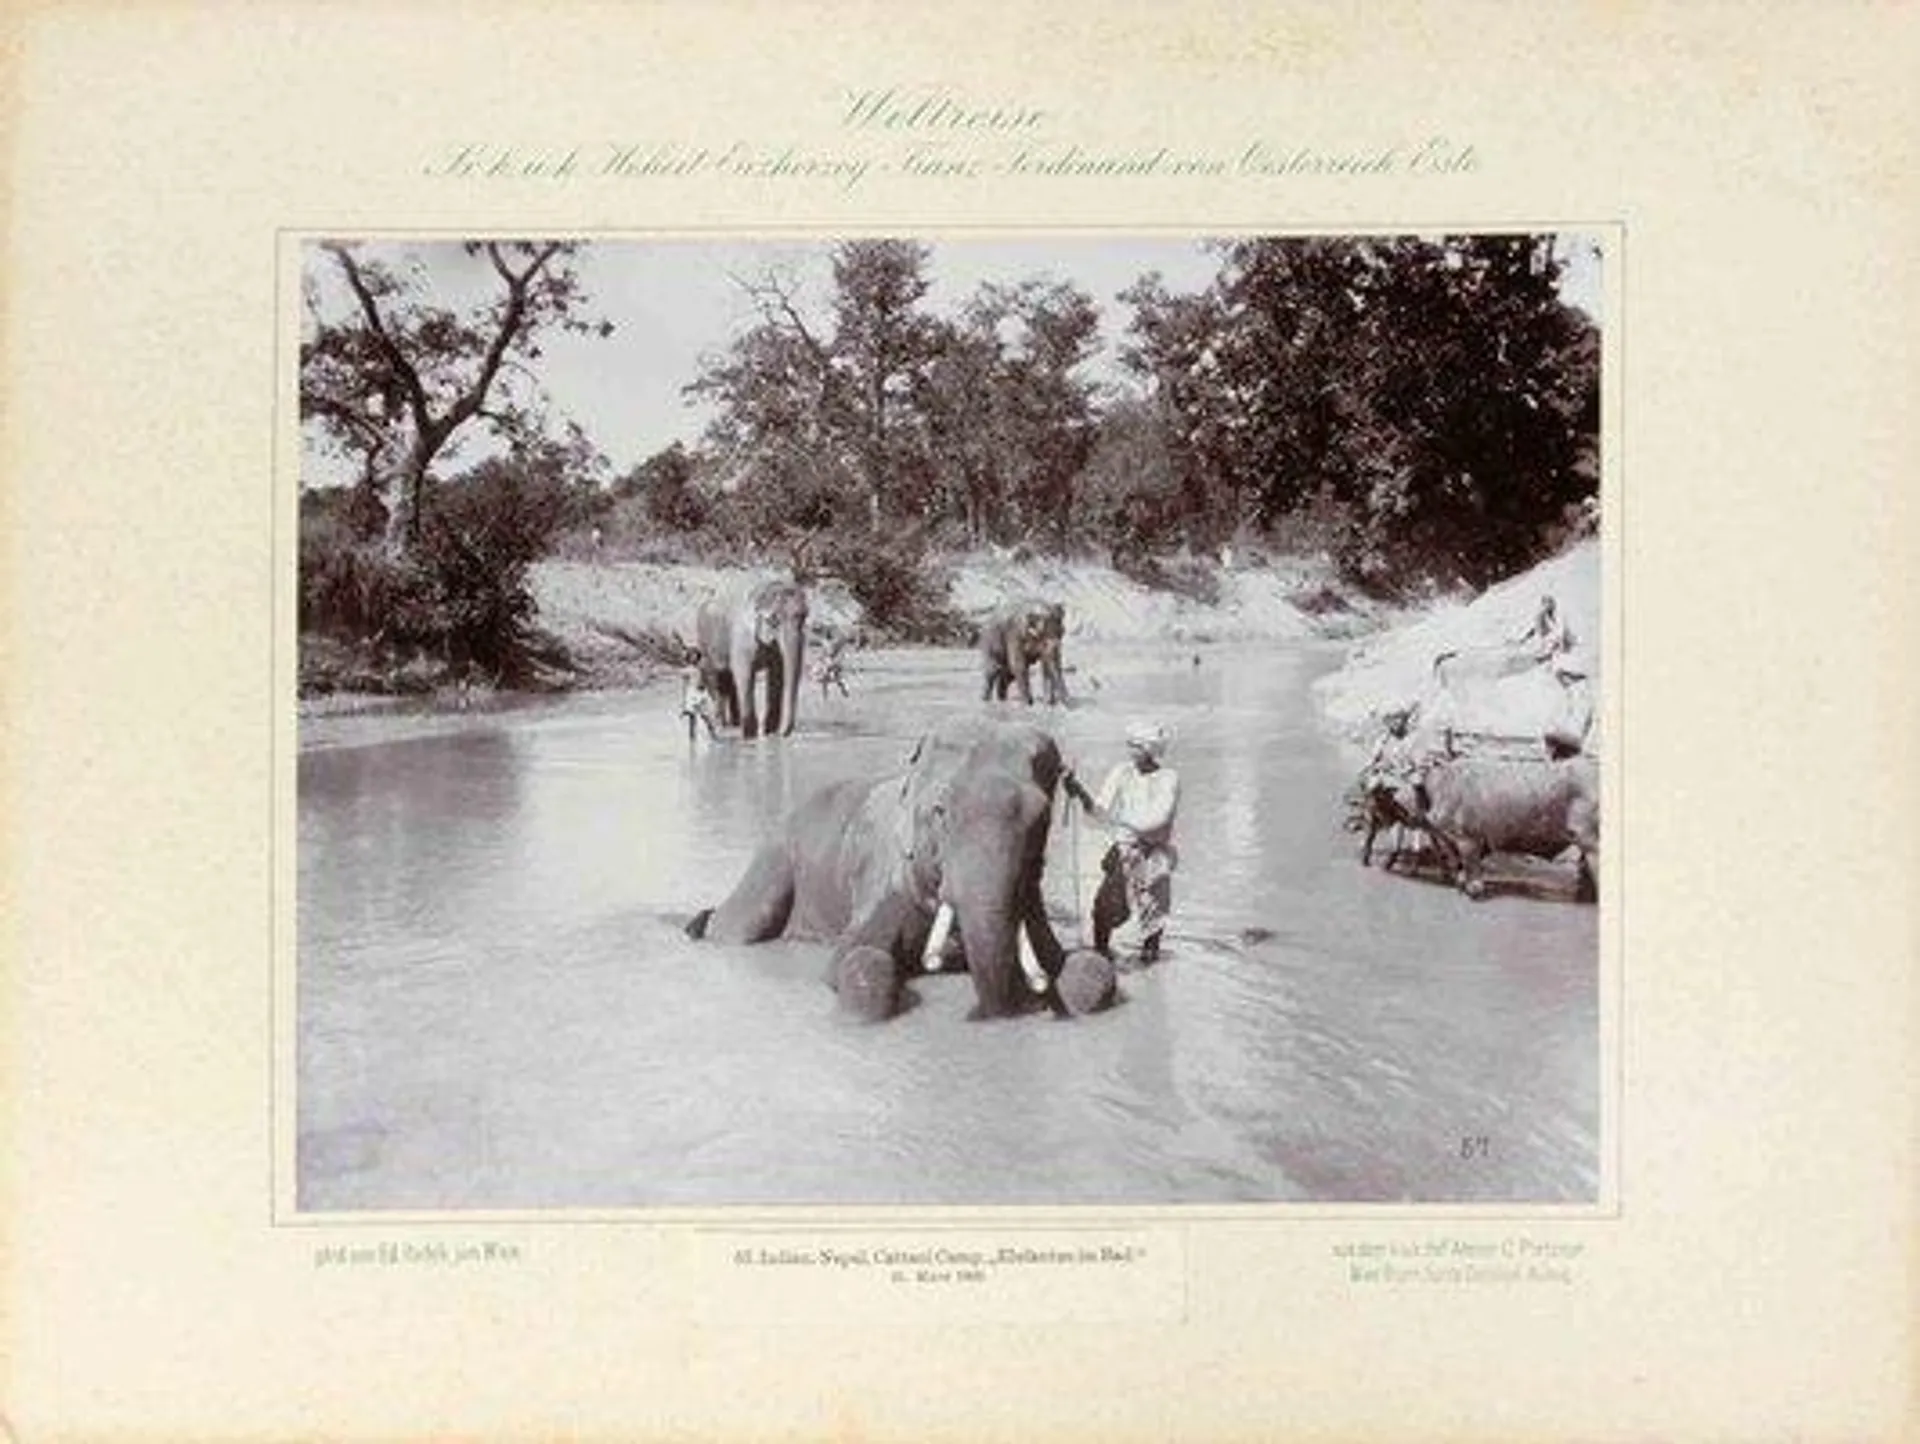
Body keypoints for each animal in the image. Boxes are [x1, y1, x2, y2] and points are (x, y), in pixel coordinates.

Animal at [683, 718, 1105, 1013]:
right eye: (940, 811)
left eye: (1041, 819)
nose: (1026, 1002)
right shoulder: (884, 879)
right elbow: (853, 960)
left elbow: (1088, 966)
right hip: (775, 857)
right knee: (740, 927)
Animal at [695, 579, 806, 737]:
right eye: (774, 620)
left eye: (804, 617)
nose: (782, 734)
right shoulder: (742, 639)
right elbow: (744, 674)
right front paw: (750, 734)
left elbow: (777, 676)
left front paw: (769, 731)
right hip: (705, 641)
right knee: (714, 675)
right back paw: (721, 724)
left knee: (729, 680)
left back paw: (735, 724)